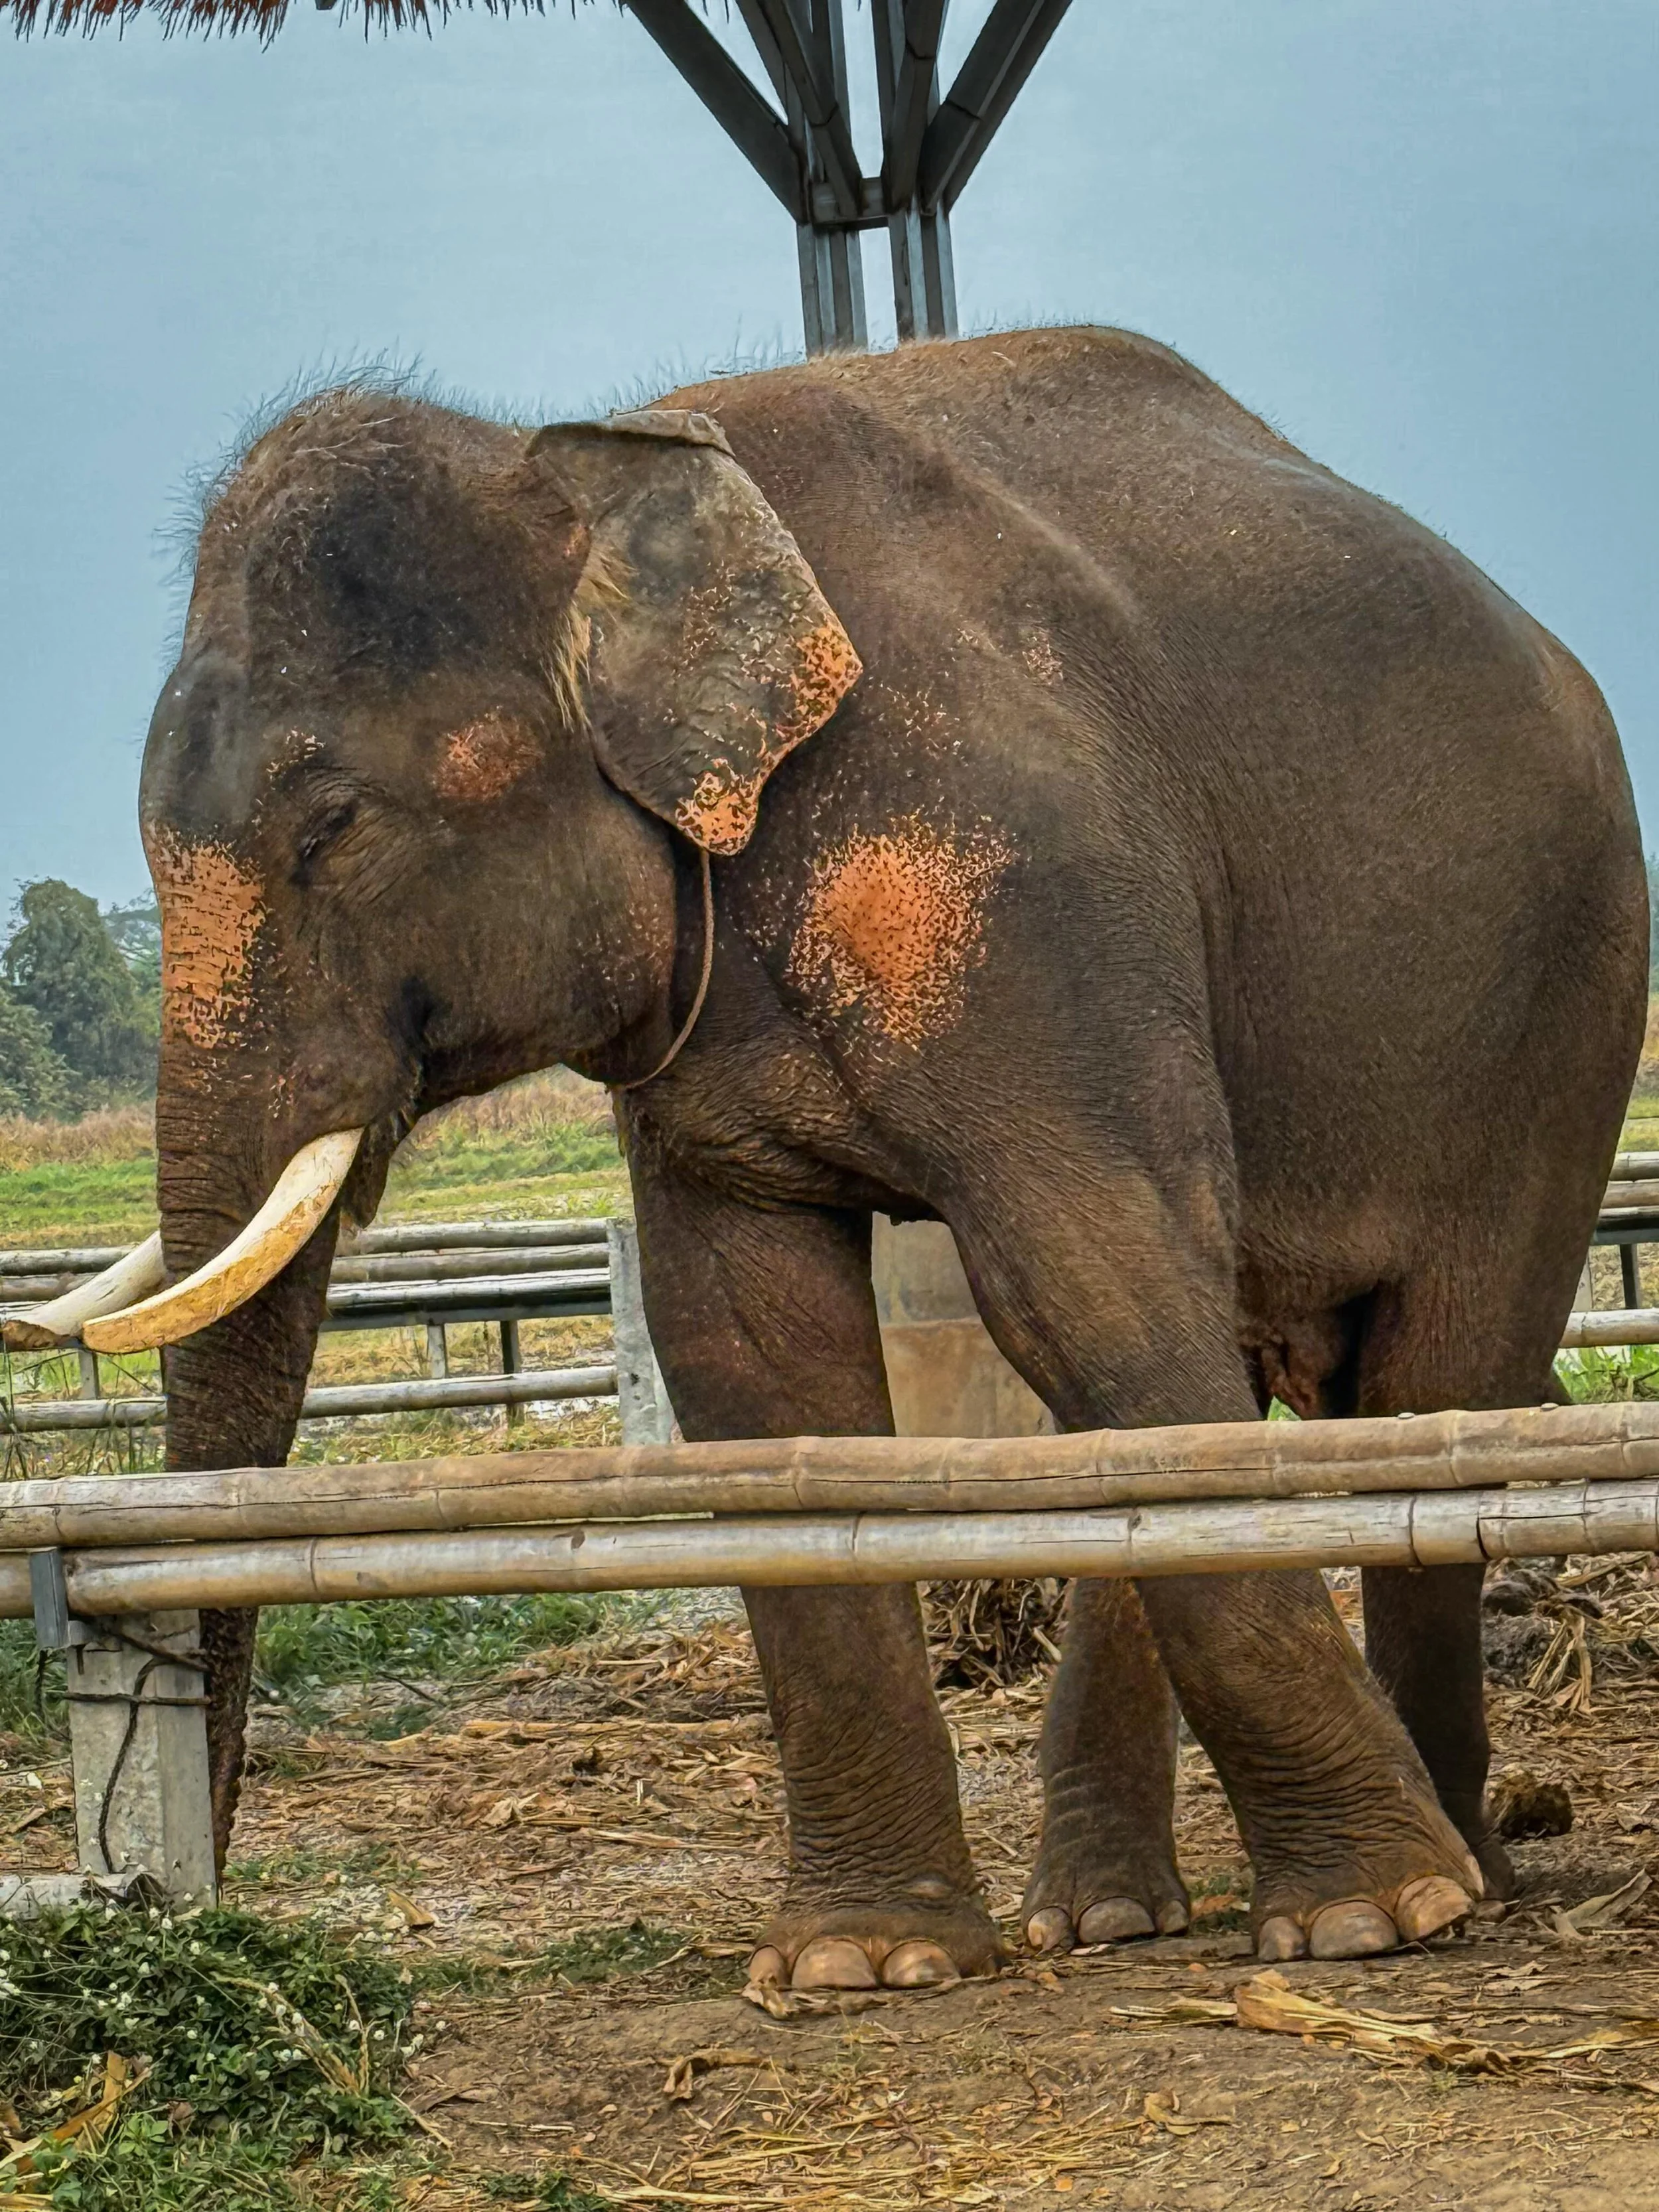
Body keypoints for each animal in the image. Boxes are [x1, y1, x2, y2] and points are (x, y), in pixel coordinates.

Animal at [110, 326, 1643, 1988]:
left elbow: (1086, 1266)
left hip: (1560, 1011)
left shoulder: (1013, 869)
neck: (589, 466)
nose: (179, 1907)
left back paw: (1457, 1878)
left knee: (1425, 1378)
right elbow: (749, 1341)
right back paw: (1102, 1913)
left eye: (329, 824)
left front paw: (1373, 1920)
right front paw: (858, 1964)